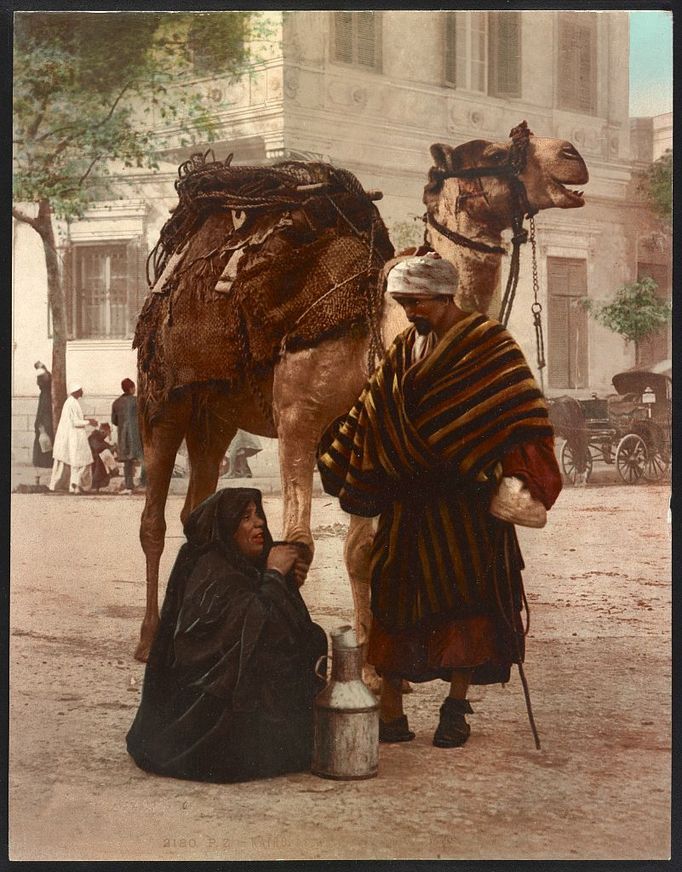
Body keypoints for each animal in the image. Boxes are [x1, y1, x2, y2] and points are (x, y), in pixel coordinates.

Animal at [131, 122, 584, 668]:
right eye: (496, 149)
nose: (573, 156)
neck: (375, 328)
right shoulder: (298, 419)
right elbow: (299, 543)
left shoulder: (370, 439)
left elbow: (361, 550)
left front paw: (370, 654)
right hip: (162, 397)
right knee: (153, 520)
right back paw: (148, 638)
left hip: (215, 413)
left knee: (195, 508)